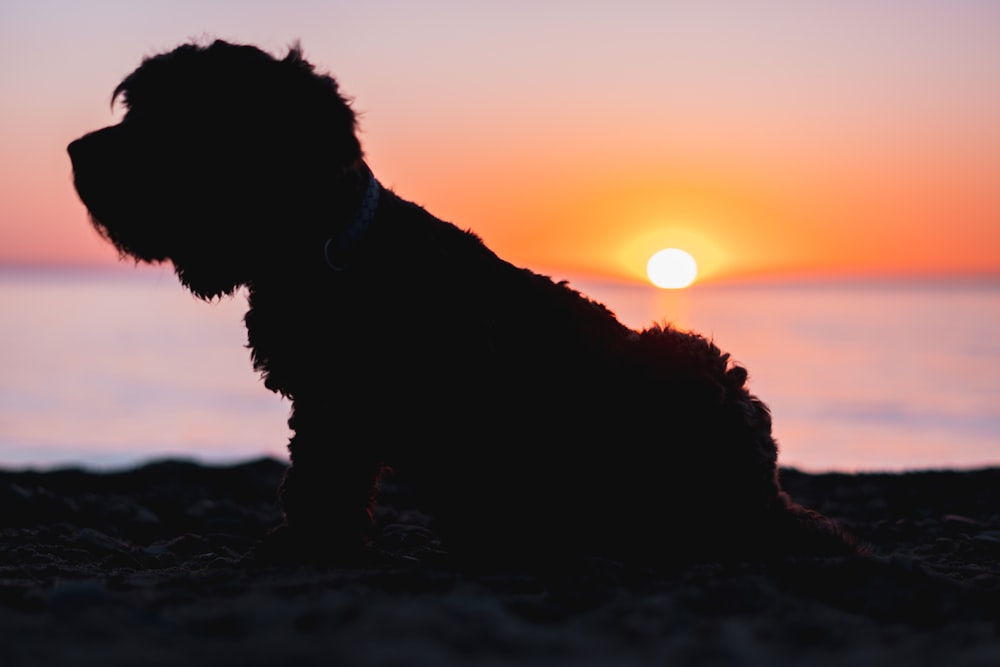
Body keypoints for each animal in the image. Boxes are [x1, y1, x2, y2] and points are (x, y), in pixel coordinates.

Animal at [68, 39, 852, 568]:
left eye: (174, 118)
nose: (77, 151)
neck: (329, 247)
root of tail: (764, 496)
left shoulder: (348, 404)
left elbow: (322, 481)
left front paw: (306, 546)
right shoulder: (325, 404)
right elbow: (318, 476)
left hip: (680, 362)